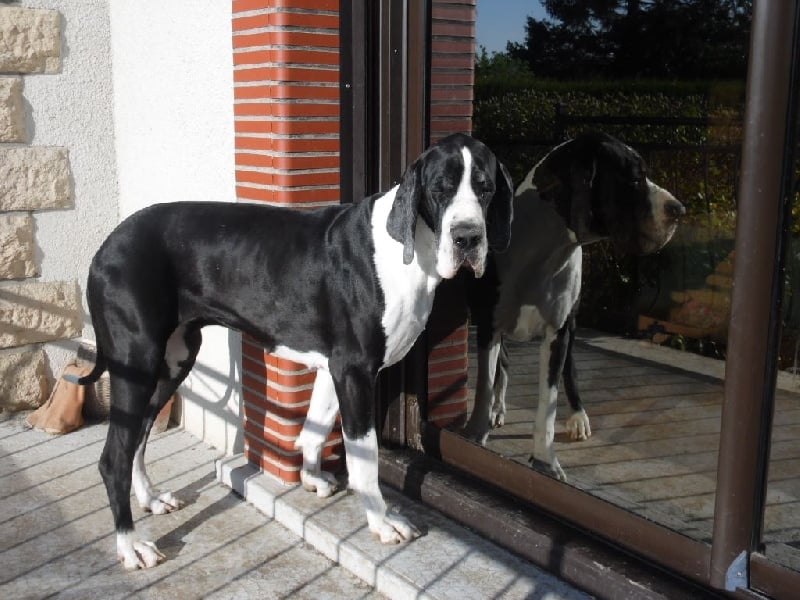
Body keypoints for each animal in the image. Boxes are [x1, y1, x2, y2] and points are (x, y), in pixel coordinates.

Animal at [70, 133, 513, 569]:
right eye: (440, 189)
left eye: (486, 188)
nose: (468, 238)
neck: (406, 248)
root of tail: (105, 247)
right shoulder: (355, 370)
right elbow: (364, 457)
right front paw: (382, 521)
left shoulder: (335, 368)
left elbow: (315, 426)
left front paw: (311, 477)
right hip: (137, 361)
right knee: (113, 456)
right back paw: (130, 544)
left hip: (173, 359)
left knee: (138, 437)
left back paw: (149, 498)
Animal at [462, 132, 684, 480]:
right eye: (634, 178)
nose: (679, 209)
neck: (541, 252)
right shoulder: (488, 324)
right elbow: (485, 383)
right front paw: (475, 435)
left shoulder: (558, 331)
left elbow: (548, 404)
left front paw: (545, 461)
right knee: (504, 365)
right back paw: (498, 407)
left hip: (571, 323)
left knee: (569, 369)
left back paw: (578, 415)